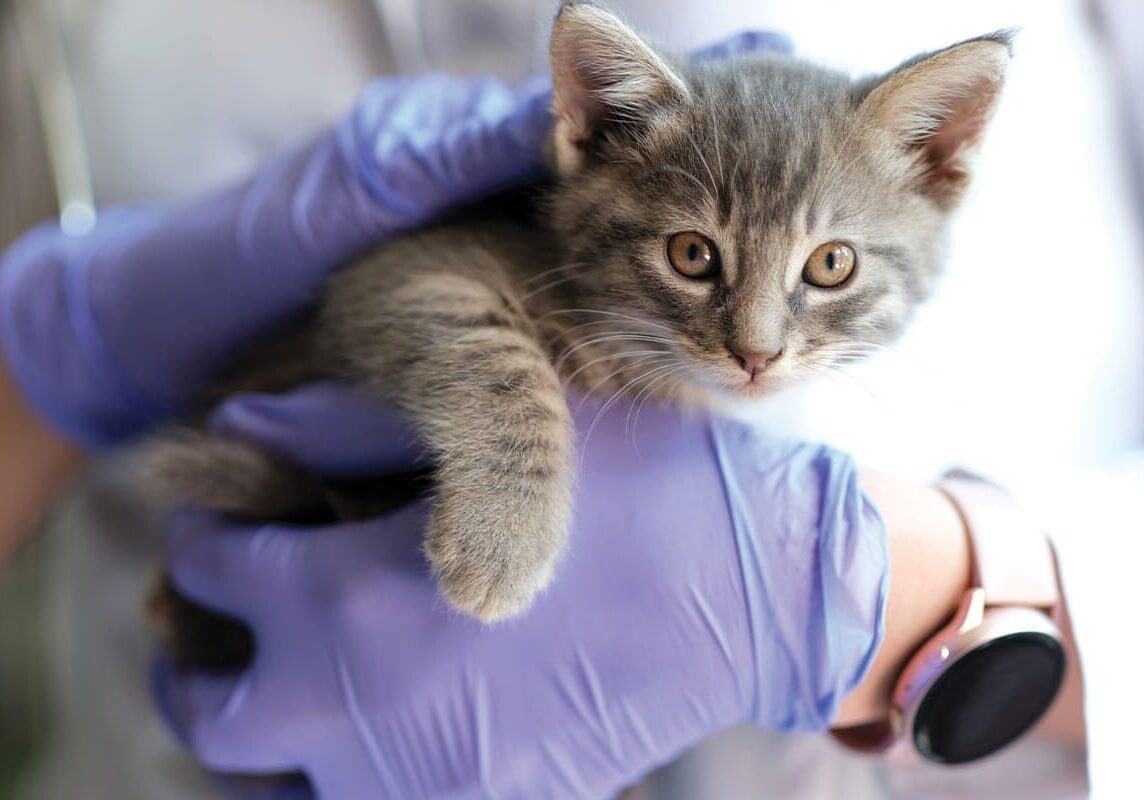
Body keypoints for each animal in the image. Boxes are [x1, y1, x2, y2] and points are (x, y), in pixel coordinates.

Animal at [147, 3, 1015, 627]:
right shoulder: (399, 270)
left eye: (832, 264)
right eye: (692, 255)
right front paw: (502, 541)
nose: (756, 355)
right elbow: (497, 363)